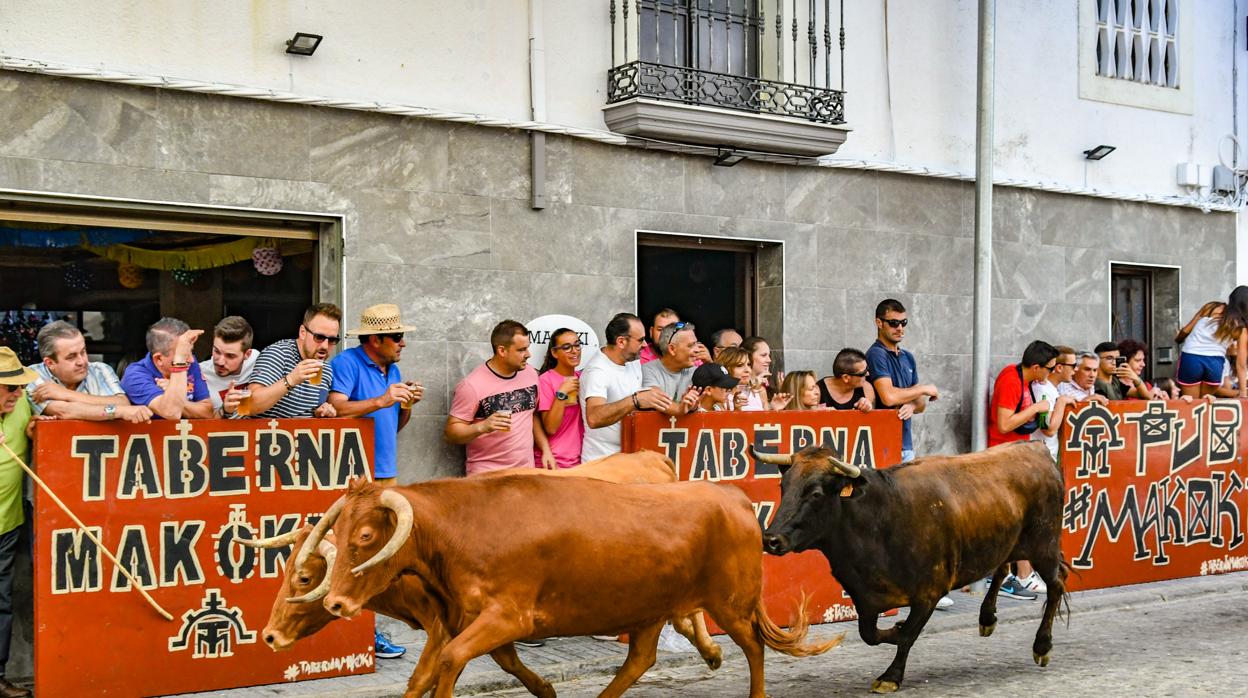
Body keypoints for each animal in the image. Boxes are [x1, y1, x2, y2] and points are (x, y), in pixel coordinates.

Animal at [312, 476, 843, 694]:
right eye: (337, 531)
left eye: (364, 536)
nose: (335, 603)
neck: (465, 527)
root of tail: (731, 496)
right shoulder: (470, 619)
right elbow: (454, 667)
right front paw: (545, 689)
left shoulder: (507, 616)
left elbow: (450, 660)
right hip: (652, 608)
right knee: (639, 660)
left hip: (730, 603)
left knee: (753, 648)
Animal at [753, 442, 1068, 694]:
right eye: (784, 487)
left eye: (816, 493)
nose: (771, 539)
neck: (879, 519)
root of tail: (1036, 448)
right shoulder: (866, 598)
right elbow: (870, 635)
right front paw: (895, 627)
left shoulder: (928, 593)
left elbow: (907, 637)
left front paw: (891, 676)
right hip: (1006, 541)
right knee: (1002, 568)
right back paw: (987, 618)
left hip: (1044, 545)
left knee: (1056, 585)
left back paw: (1042, 646)